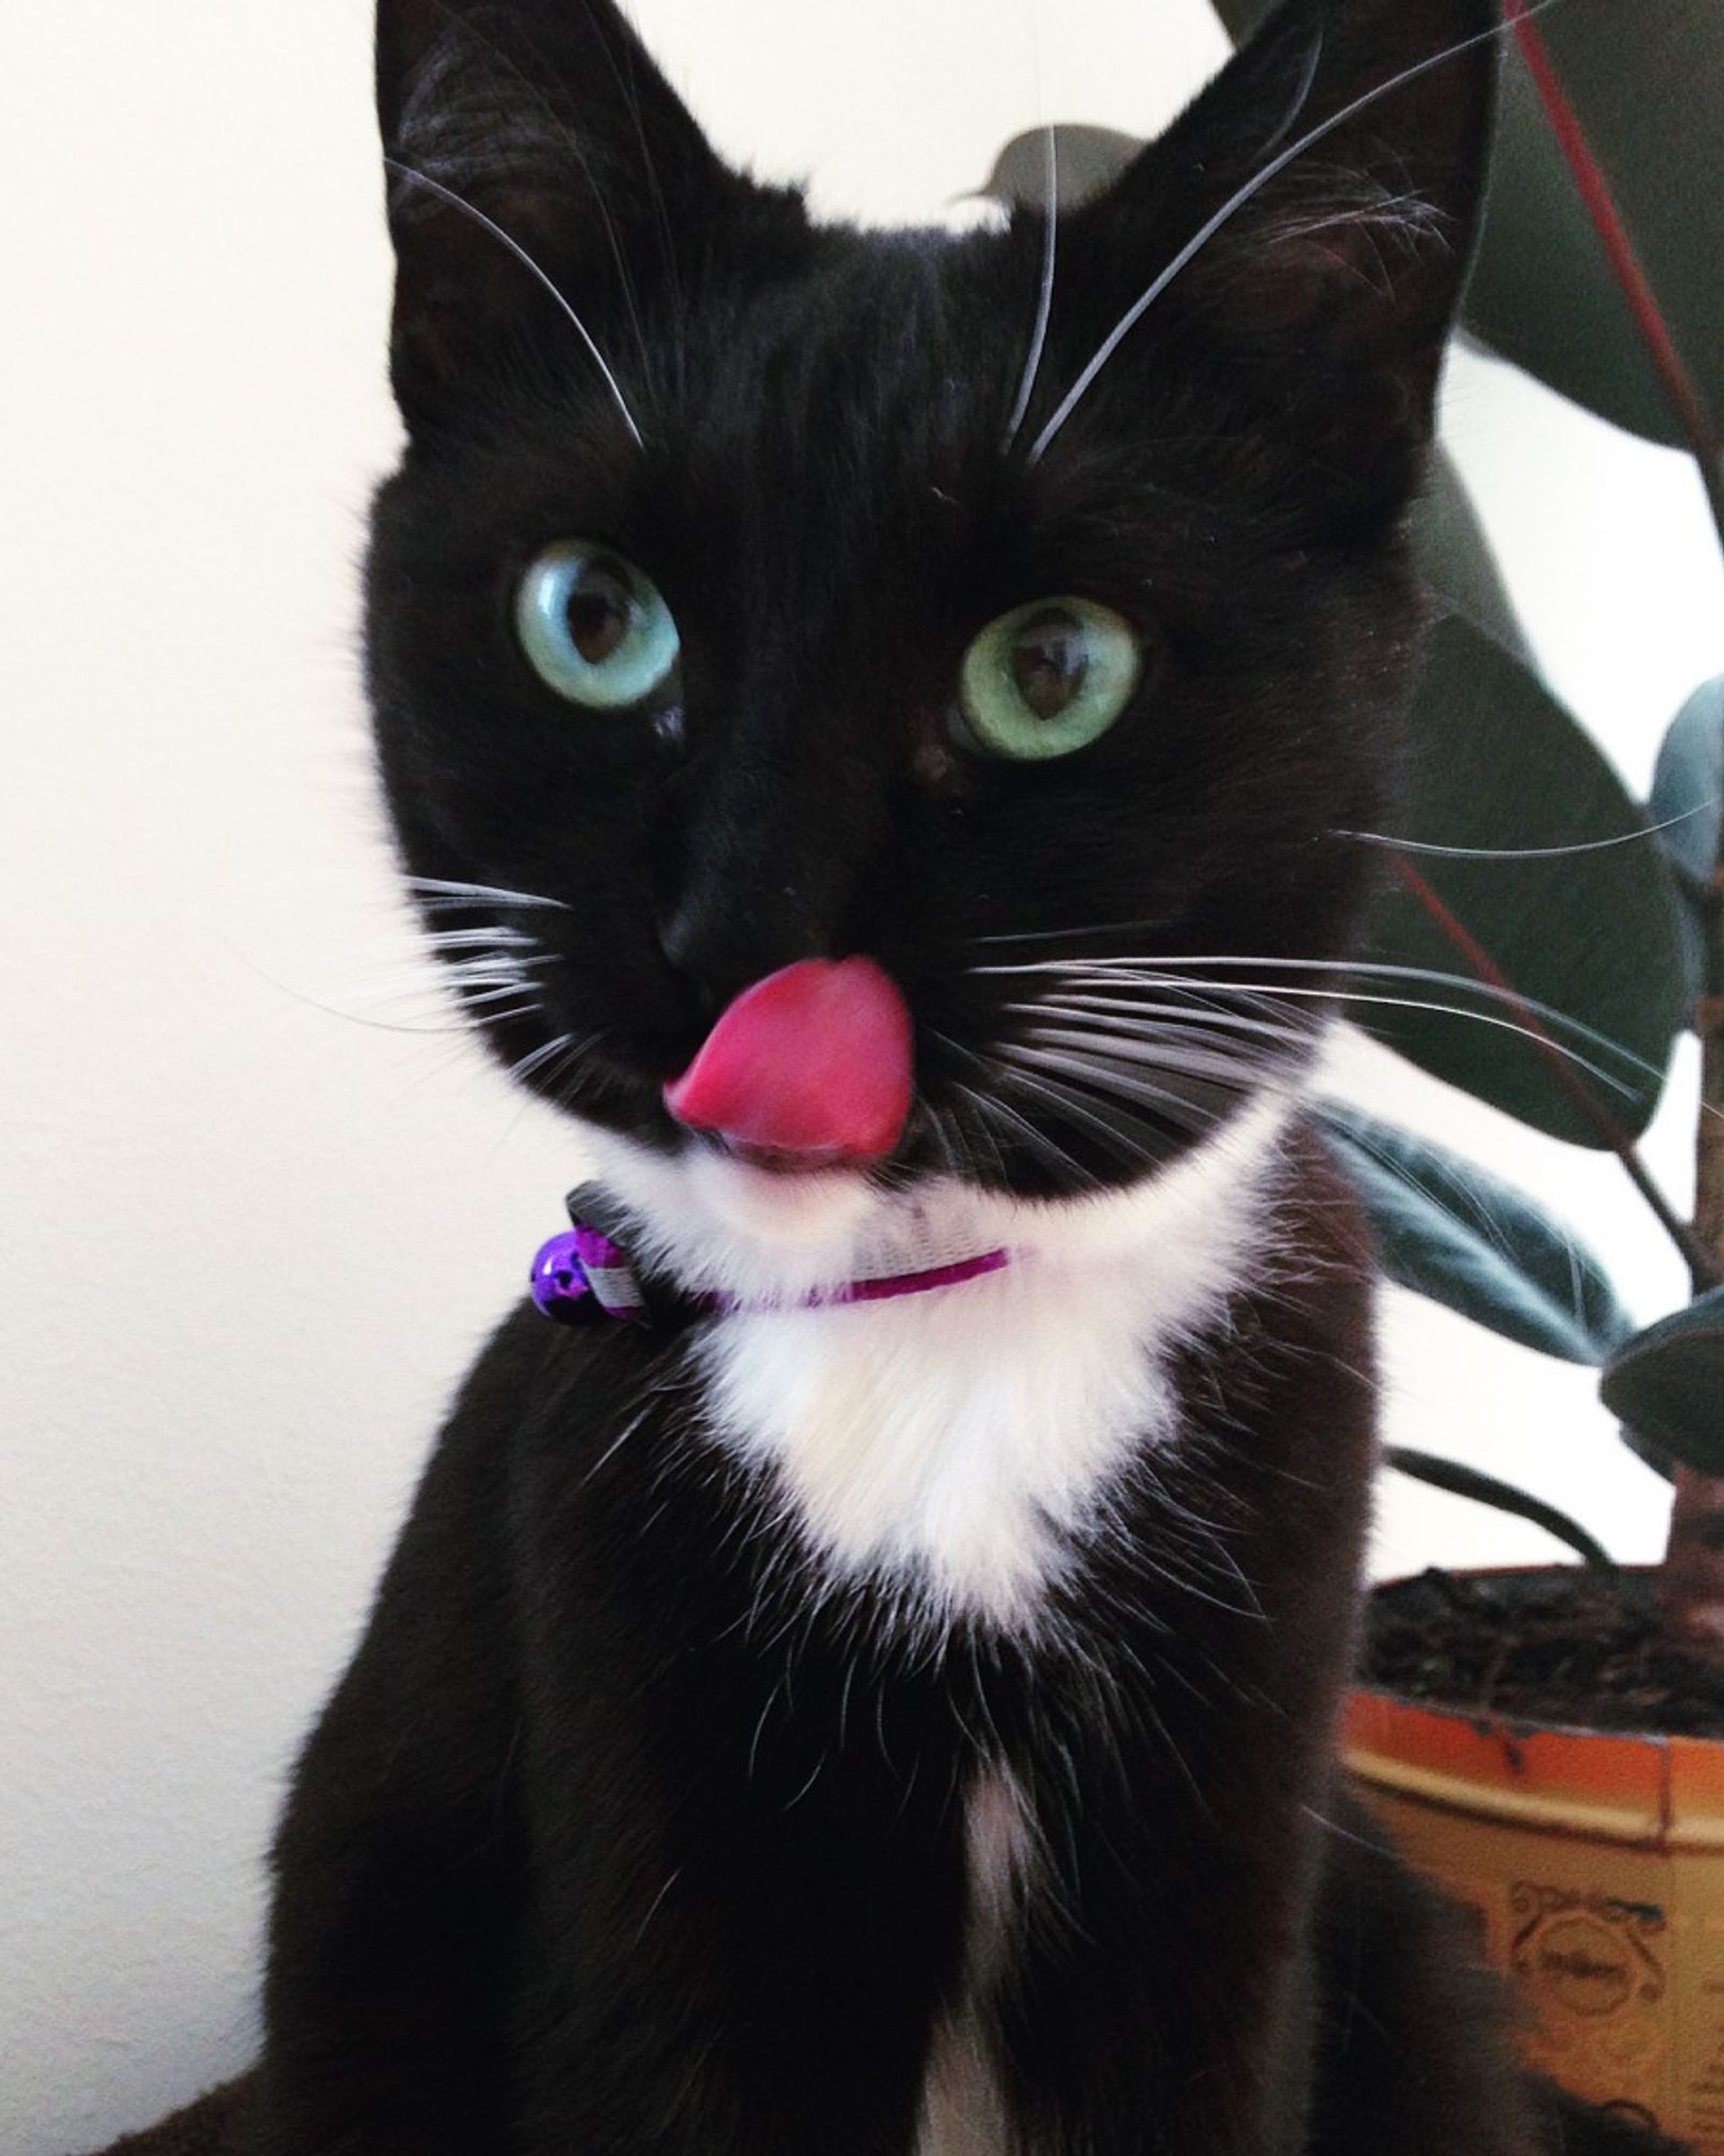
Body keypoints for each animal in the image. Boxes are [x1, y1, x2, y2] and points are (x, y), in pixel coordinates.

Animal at [87, 0, 1689, 2147]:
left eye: (1053, 668)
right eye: (591, 619)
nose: (744, 933)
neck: (931, 1332)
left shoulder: (1241, 1805)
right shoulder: (638, 1768)